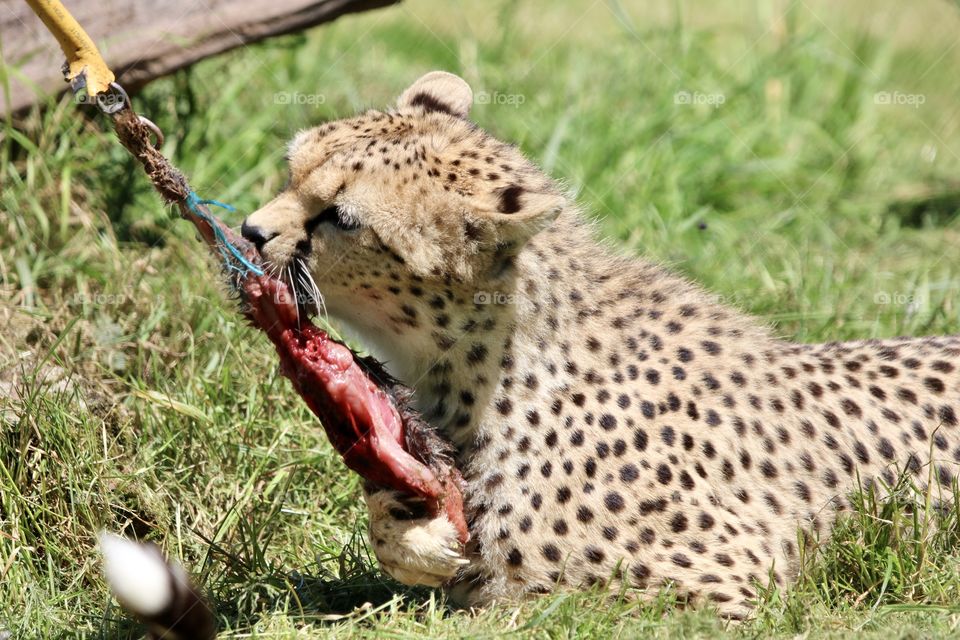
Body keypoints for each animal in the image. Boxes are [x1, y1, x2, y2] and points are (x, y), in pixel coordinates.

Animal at [238, 71, 960, 619]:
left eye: (341, 218)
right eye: (293, 169)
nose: (248, 231)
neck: (476, 357)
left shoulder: (730, 587)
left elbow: (533, 602)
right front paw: (412, 533)